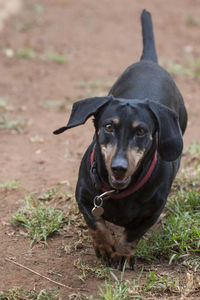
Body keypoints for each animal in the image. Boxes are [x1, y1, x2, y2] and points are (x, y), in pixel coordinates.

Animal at [53, 9, 188, 270]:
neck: (116, 192)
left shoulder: (152, 212)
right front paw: (105, 248)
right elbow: (96, 224)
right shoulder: (84, 198)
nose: (119, 167)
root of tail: (149, 62)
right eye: (108, 127)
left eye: (141, 132)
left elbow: (132, 235)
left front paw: (123, 254)